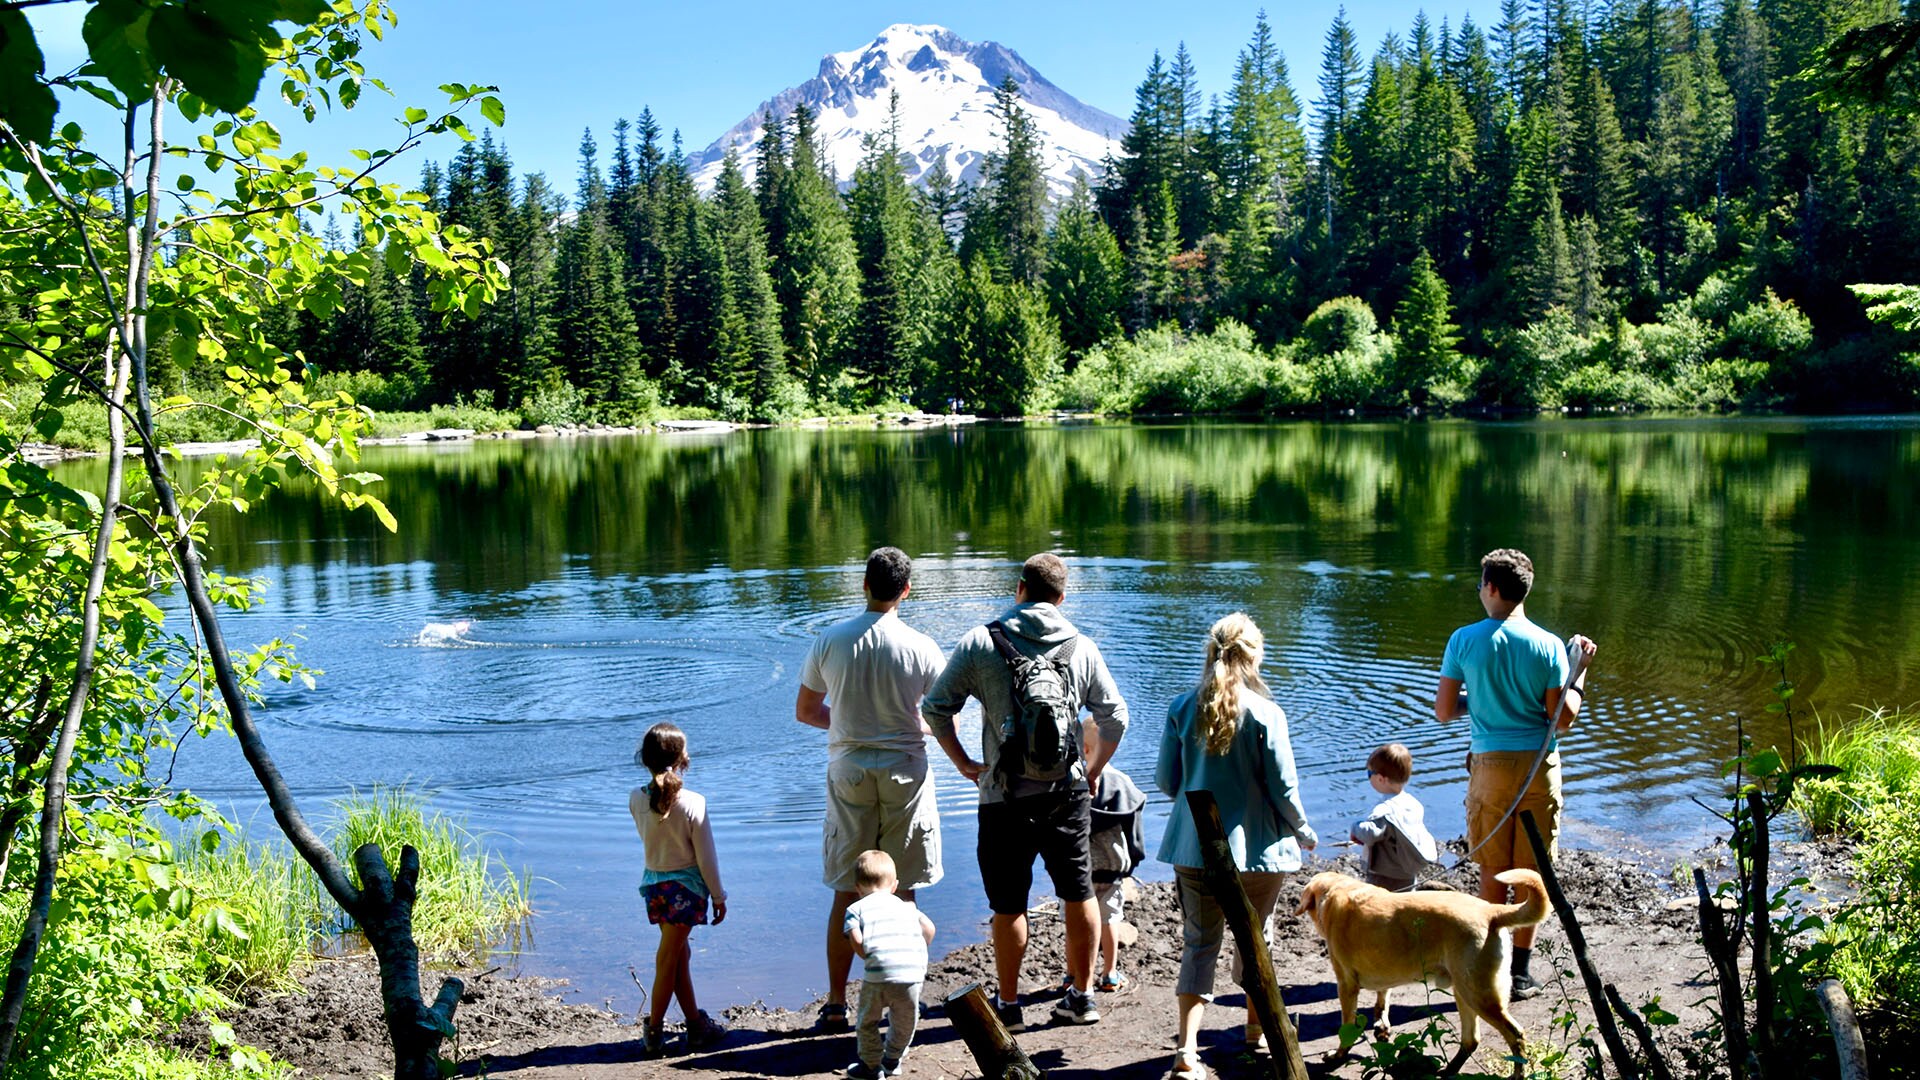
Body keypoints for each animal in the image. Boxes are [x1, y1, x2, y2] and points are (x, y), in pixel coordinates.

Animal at [1290, 868, 1543, 1068]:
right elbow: (1382, 1000)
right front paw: (1382, 1027)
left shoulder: (1346, 985)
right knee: (1471, 1039)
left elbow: (1347, 1027)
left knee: (1516, 1036)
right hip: (1464, 992)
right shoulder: (1385, 973)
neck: (1337, 890)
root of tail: (1491, 912)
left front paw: (1339, 1054)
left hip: (1479, 996)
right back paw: (1447, 1071)